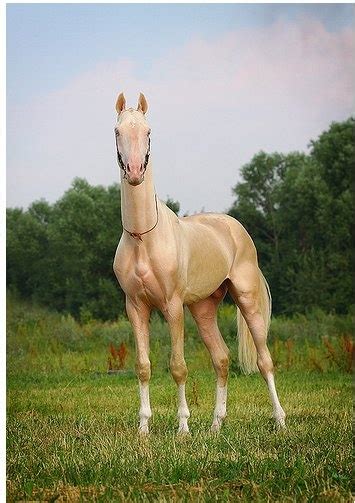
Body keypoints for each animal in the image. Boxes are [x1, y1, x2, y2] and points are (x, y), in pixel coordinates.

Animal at [112, 92, 286, 436]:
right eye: (117, 131)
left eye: (148, 132)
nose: (135, 172)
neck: (143, 239)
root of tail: (235, 228)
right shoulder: (135, 307)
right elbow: (143, 366)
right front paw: (143, 429)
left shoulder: (172, 306)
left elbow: (178, 367)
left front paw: (183, 428)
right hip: (204, 308)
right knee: (222, 359)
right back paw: (216, 425)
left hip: (246, 300)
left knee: (264, 361)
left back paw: (281, 420)